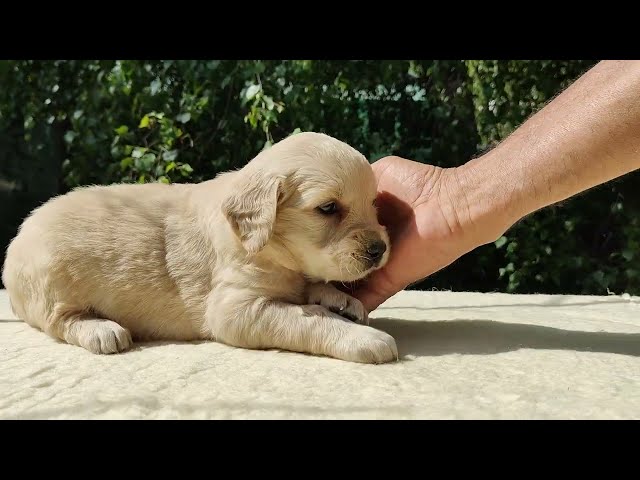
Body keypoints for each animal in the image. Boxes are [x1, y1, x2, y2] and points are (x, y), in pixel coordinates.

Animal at [2, 131, 398, 364]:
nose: (379, 249)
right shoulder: (235, 309)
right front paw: (365, 337)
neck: (271, 249)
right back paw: (100, 330)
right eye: (328, 208)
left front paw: (342, 299)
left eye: (373, 204)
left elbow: (311, 288)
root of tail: (19, 235)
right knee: (59, 321)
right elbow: (307, 318)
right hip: (51, 283)